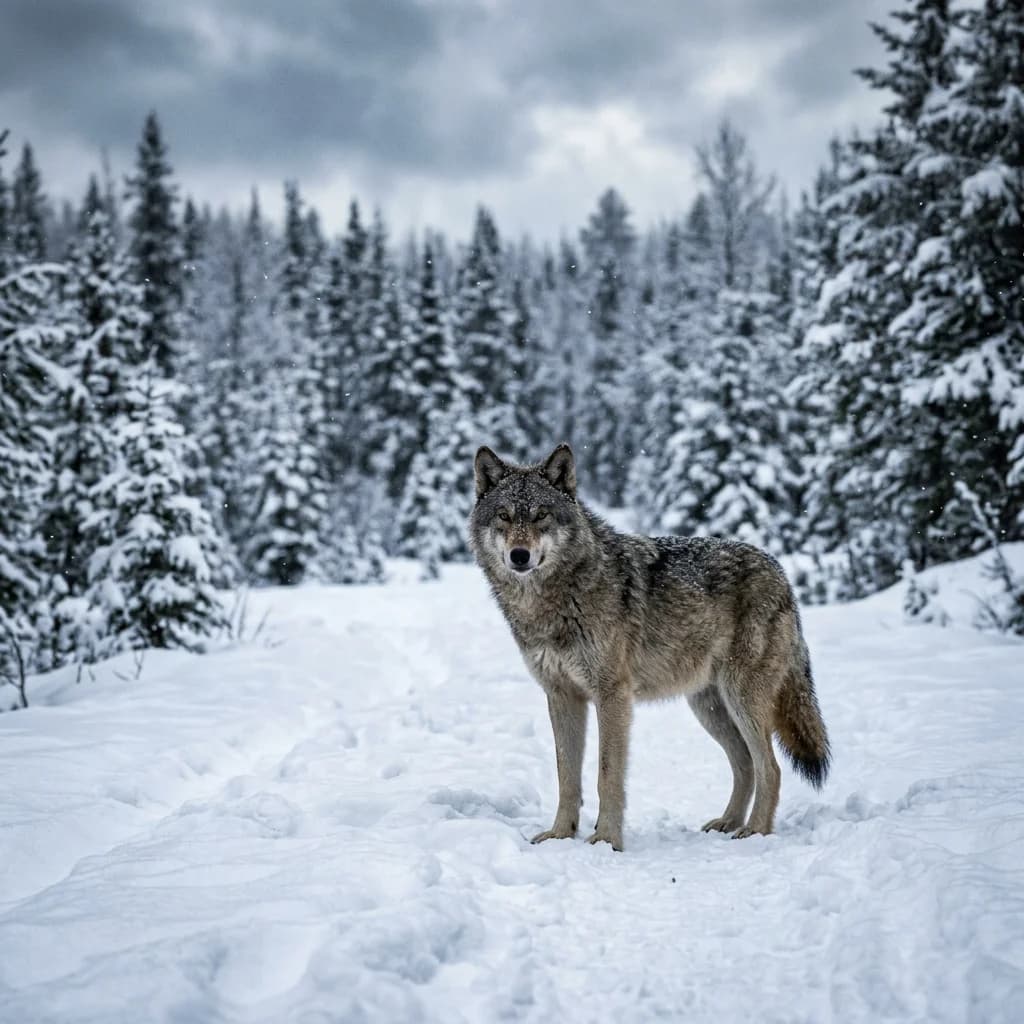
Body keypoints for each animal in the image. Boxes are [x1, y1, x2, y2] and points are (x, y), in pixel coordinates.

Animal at [469, 443, 830, 851]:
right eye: (504, 515)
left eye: (541, 515)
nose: (519, 555)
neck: (556, 598)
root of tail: (781, 572)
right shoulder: (562, 696)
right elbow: (567, 777)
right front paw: (560, 835)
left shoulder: (612, 695)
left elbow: (607, 775)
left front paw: (607, 839)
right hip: (709, 707)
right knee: (746, 765)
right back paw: (727, 822)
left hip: (742, 700)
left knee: (770, 767)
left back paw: (755, 832)